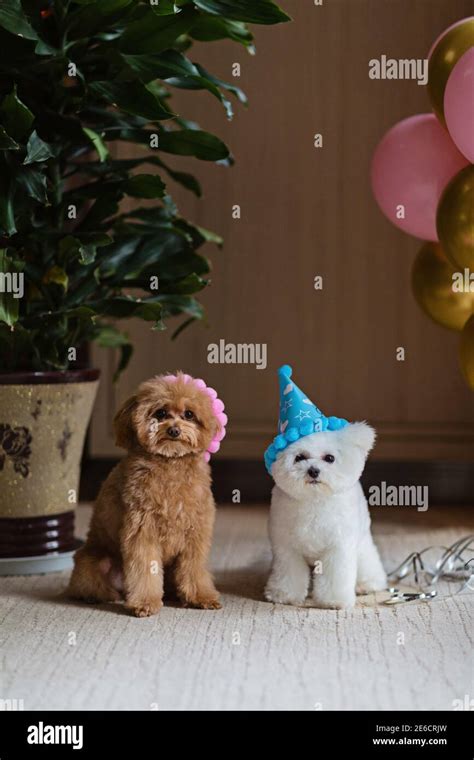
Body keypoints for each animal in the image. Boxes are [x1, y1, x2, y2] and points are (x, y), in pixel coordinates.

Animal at [67, 374, 224, 616]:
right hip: (94, 561)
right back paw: (97, 596)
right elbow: (145, 570)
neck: (170, 463)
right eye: (160, 413)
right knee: (89, 585)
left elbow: (194, 569)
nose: (174, 431)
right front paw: (144, 603)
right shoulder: (142, 531)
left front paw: (201, 597)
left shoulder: (195, 533)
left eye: (189, 414)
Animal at [262, 366, 386, 608]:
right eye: (299, 457)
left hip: (361, 543)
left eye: (329, 458)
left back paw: (368, 584)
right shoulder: (287, 548)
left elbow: (336, 576)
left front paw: (333, 600)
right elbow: (288, 573)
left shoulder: (338, 549)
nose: (313, 471)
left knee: (368, 560)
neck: (315, 501)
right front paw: (284, 595)